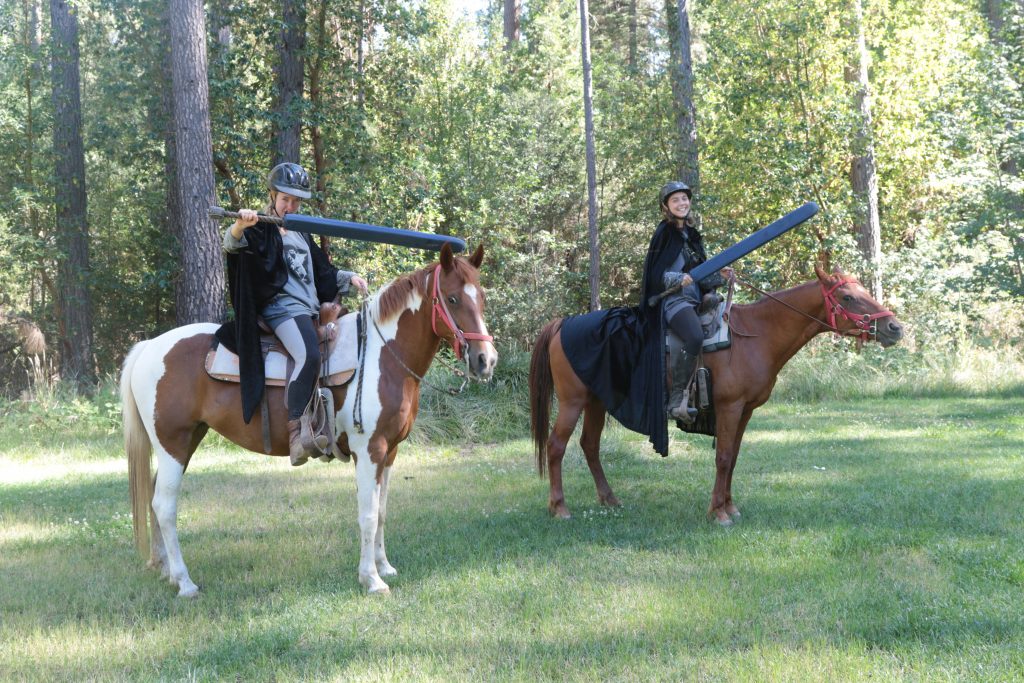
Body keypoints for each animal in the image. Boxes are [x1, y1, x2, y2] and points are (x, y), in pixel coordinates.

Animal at [122, 243, 497, 596]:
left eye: (481, 297)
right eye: (452, 298)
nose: (486, 360)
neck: (382, 356)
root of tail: (150, 346)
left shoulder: (390, 452)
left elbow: (382, 511)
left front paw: (385, 567)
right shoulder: (369, 450)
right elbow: (367, 514)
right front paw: (371, 579)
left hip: (184, 442)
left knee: (155, 500)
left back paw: (167, 571)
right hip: (173, 443)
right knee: (164, 506)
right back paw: (185, 583)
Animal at [529, 265, 904, 524]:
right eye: (848, 297)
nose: (894, 327)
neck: (756, 334)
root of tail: (562, 324)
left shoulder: (746, 410)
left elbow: (733, 456)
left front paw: (729, 505)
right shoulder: (729, 407)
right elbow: (723, 456)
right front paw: (718, 512)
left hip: (595, 401)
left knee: (589, 446)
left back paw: (609, 499)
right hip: (573, 402)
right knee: (556, 446)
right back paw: (559, 507)